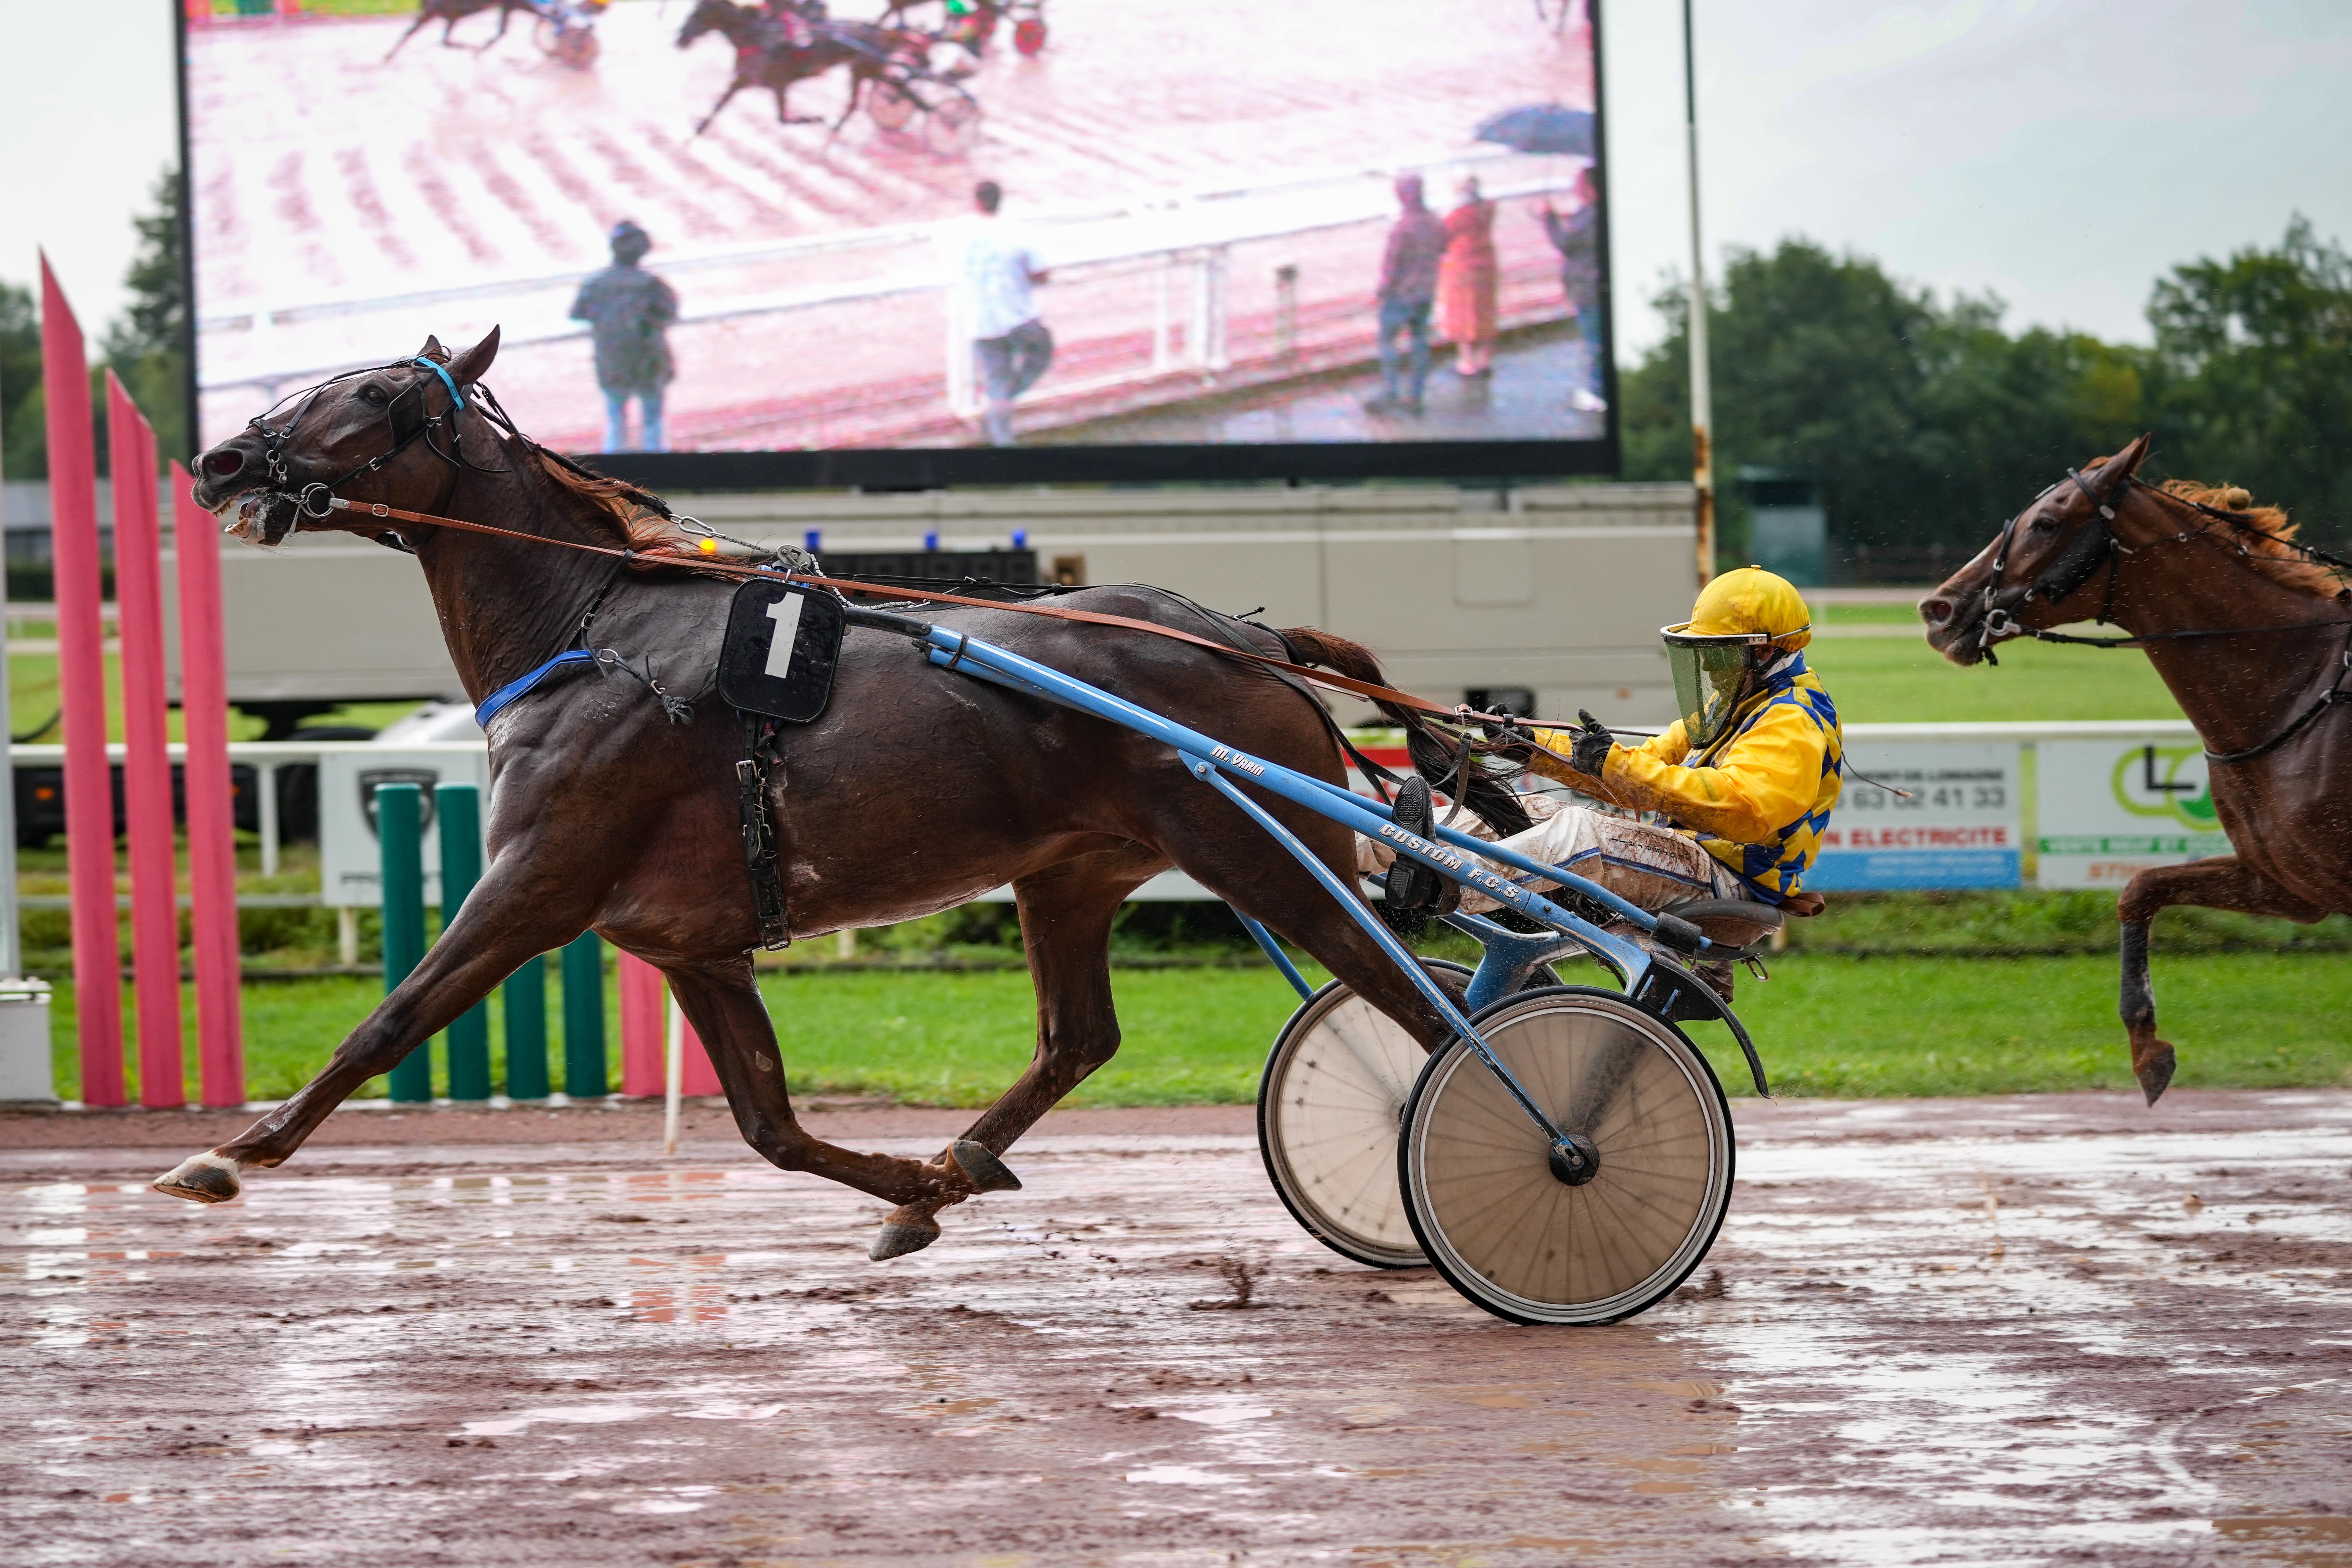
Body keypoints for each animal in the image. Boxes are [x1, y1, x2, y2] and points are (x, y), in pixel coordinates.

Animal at [156, 331, 1496, 1260]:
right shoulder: (689, 944)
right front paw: (915, 1193)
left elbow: (390, 1020)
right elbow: (770, 1126)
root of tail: (1246, 637)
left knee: (1420, 1006)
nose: (219, 458)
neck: (592, 628)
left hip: (1264, 849)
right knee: (1078, 1038)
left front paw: (229, 1151)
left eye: (370, 396)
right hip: (1070, 872)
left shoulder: (537, 882)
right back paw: (960, 1161)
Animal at [1919, 432, 2342, 1105]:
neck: (2302, 686)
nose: (1937, 608)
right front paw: (2147, 1049)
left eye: (2045, 522)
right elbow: (2138, 888)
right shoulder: (2290, 881)